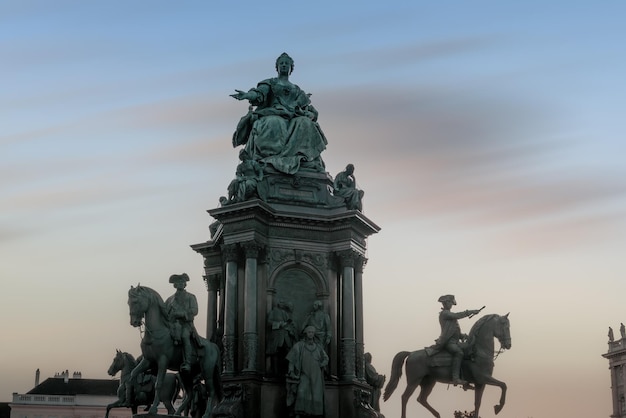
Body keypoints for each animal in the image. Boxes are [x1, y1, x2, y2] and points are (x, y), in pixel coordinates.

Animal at [127, 284, 222, 418]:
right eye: (128, 302)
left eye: (136, 301)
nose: (134, 322)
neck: (156, 334)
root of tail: (214, 346)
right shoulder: (147, 361)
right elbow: (132, 374)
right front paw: (130, 396)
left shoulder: (162, 361)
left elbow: (158, 383)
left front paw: (153, 409)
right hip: (185, 374)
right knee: (190, 394)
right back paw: (177, 413)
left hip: (207, 371)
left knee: (211, 391)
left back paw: (207, 413)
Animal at [382, 314, 510, 418]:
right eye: (505, 325)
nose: (509, 344)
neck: (479, 351)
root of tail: (411, 353)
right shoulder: (483, 378)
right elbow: (503, 385)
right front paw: (498, 407)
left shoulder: (480, 383)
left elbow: (477, 403)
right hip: (414, 381)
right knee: (405, 397)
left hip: (429, 382)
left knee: (422, 399)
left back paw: (438, 414)